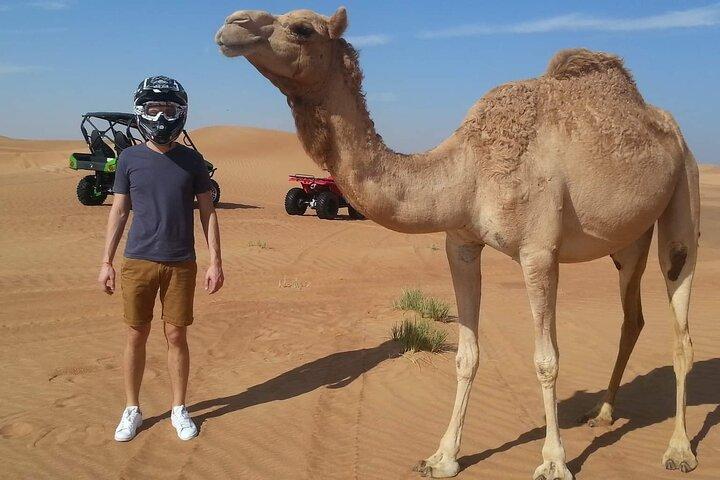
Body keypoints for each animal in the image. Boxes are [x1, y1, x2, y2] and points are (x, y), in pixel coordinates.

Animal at [215, 7, 700, 479]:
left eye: (301, 28)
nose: (231, 25)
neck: (469, 169)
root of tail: (671, 128)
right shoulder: (461, 244)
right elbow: (466, 355)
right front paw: (443, 456)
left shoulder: (539, 253)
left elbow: (546, 360)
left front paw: (554, 462)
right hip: (628, 240)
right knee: (632, 317)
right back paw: (602, 414)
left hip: (683, 196)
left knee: (680, 326)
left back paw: (678, 450)